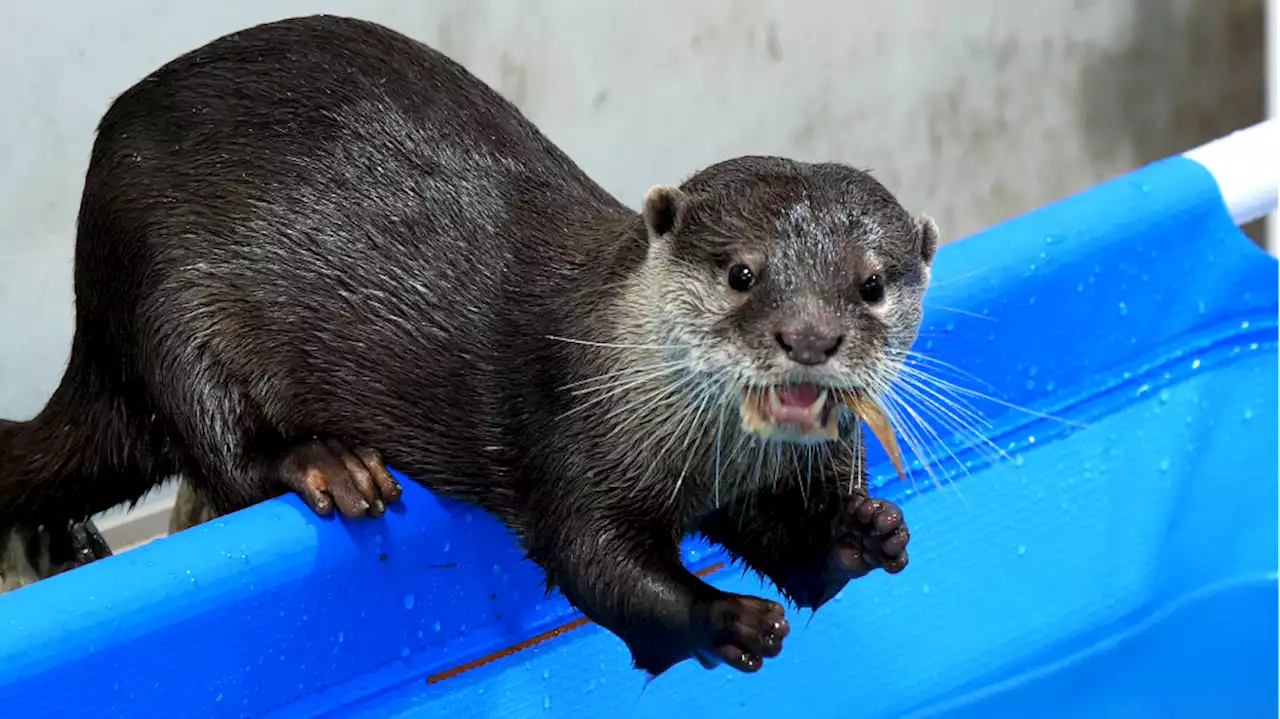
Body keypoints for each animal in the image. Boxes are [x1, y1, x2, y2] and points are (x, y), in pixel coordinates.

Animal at [2, 13, 942, 670]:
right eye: (743, 272)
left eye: (871, 284)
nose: (811, 337)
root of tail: (92, 312)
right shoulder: (569, 441)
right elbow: (597, 564)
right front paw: (723, 614)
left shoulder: (760, 482)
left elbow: (798, 556)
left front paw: (866, 529)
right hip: (161, 301)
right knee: (218, 446)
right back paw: (329, 464)